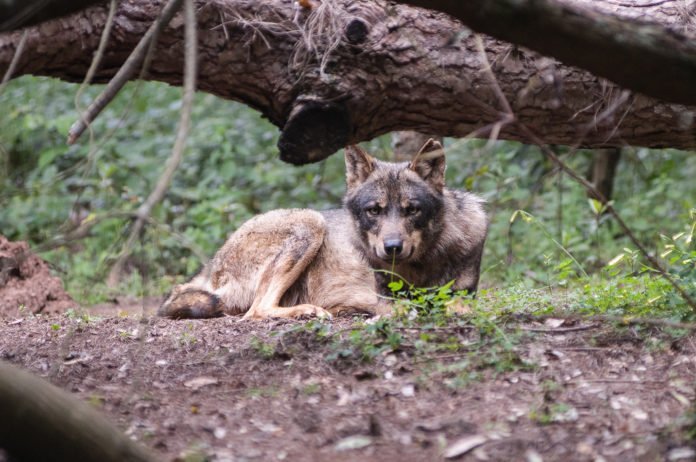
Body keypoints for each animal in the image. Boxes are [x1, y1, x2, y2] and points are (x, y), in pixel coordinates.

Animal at [158, 141, 486, 320]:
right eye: (374, 210)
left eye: (412, 209)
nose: (392, 247)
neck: (421, 266)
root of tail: (211, 267)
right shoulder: (385, 300)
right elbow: (410, 308)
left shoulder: (463, 294)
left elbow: (460, 306)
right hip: (311, 222)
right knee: (256, 310)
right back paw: (308, 311)